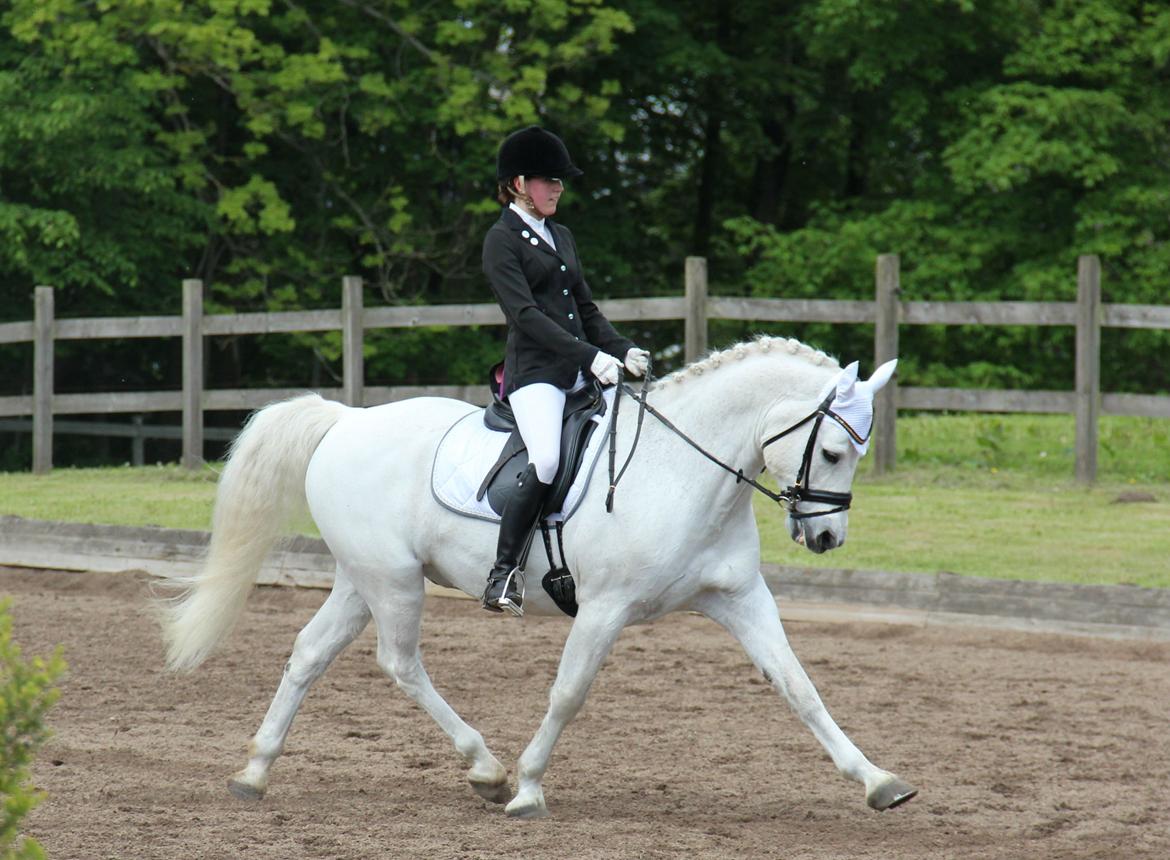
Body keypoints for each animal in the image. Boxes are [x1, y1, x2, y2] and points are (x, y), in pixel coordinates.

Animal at [162, 336, 912, 819]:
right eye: (834, 450)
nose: (827, 538)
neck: (681, 470)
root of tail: (347, 421)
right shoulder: (605, 608)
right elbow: (568, 693)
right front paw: (527, 789)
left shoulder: (738, 597)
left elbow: (799, 686)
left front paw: (878, 782)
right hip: (393, 582)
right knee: (400, 662)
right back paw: (487, 769)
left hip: (361, 577)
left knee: (310, 654)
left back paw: (256, 771)